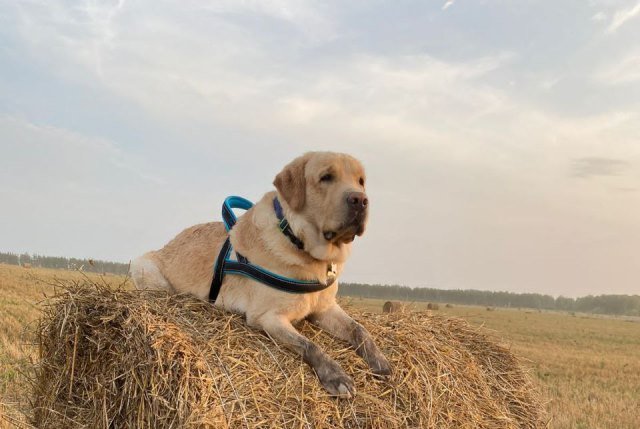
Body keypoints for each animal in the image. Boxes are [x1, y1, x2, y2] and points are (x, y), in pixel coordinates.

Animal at [130, 152, 390, 396]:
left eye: (360, 181)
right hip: (143, 266)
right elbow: (309, 345)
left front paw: (380, 361)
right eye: (326, 177)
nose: (360, 200)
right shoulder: (268, 317)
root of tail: (170, 241)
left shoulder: (325, 308)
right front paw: (335, 375)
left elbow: (360, 330)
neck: (297, 241)